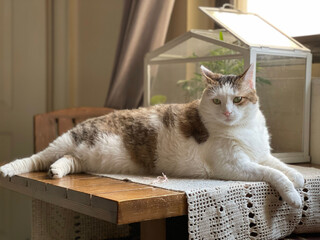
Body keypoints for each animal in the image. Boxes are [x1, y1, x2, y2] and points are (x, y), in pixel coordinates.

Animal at [0, 64, 304, 208]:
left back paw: (56, 171)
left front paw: (299, 177)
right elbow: (273, 173)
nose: (228, 112)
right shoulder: (234, 165)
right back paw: (9, 169)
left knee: (65, 160)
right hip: (66, 141)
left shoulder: (261, 154)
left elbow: (280, 165)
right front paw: (293, 195)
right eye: (217, 101)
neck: (243, 129)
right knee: (35, 158)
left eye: (238, 99)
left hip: (82, 158)